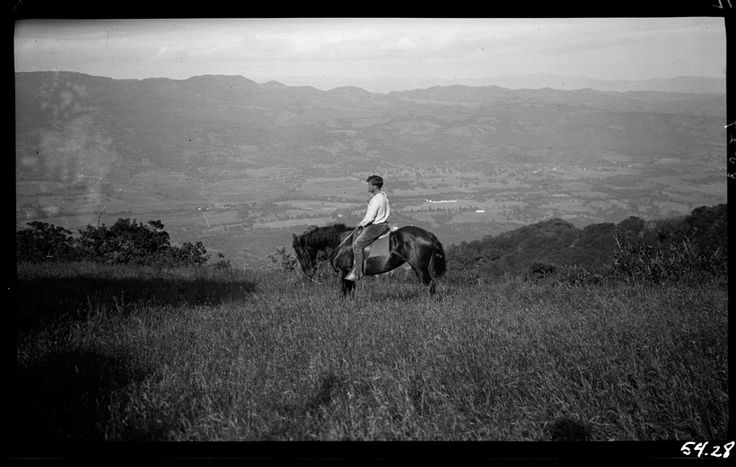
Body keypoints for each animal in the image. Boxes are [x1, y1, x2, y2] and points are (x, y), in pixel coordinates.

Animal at [290, 224, 446, 296]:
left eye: (300, 251)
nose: (309, 273)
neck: (340, 243)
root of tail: (429, 235)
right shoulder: (350, 274)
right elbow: (351, 291)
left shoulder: (345, 271)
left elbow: (344, 291)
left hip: (420, 268)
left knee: (430, 285)